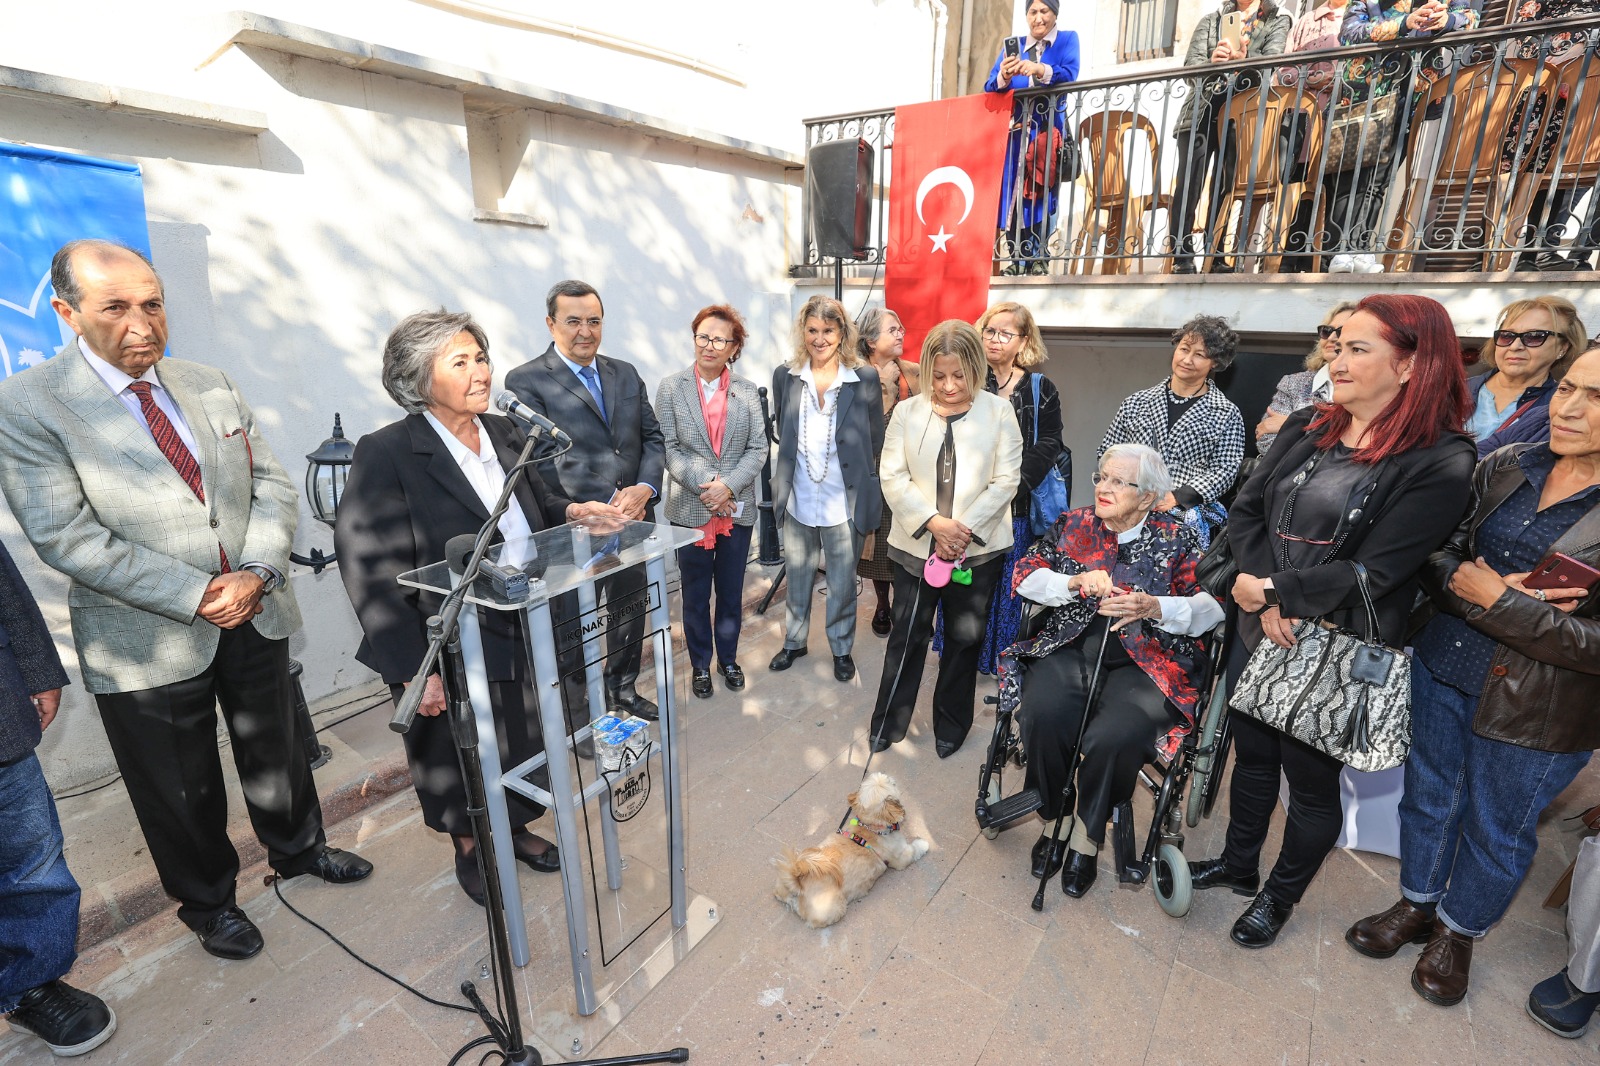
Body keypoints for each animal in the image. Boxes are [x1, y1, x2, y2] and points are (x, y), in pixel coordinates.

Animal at [771, 768, 934, 928]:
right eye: (891, 783)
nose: (891, 776)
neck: (870, 827)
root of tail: (797, 884)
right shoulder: (900, 857)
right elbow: (915, 850)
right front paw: (923, 844)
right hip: (835, 908)